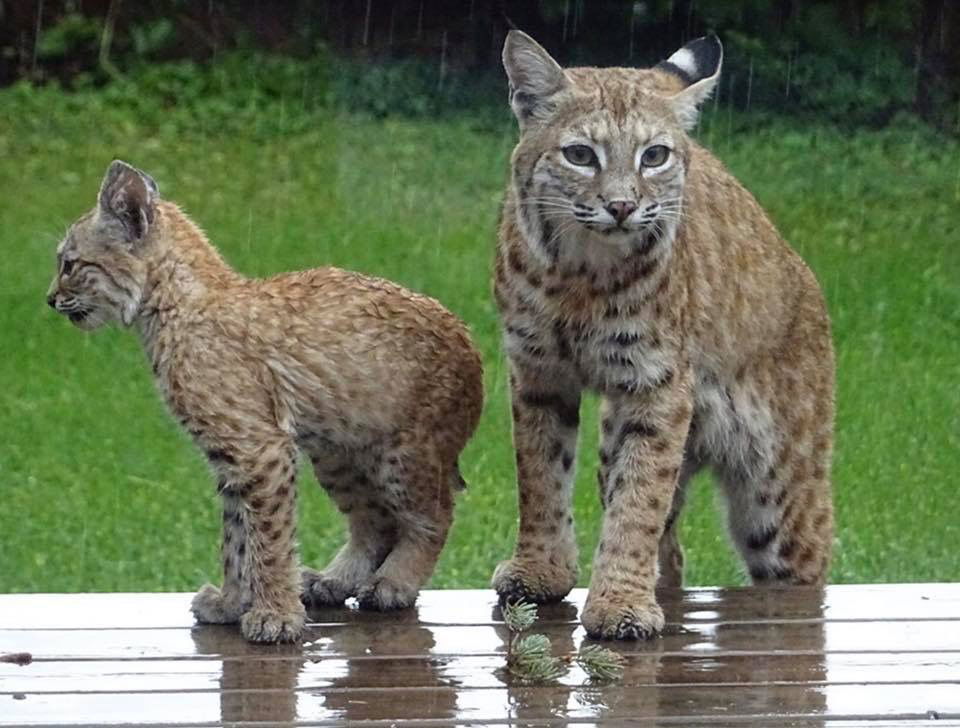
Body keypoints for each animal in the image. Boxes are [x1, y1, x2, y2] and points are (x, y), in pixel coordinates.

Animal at [46, 161, 484, 644]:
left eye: (70, 264)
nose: (50, 299)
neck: (166, 306)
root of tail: (467, 335)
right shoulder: (233, 457)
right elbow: (237, 538)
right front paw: (232, 602)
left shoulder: (258, 446)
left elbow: (268, 539)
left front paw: (275, 615)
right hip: (337, 448)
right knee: (375, 520)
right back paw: (336, 579)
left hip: (405, 450)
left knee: (437, 514)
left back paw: (395, 583)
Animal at [492, 31, 836, 640]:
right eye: (580, 155)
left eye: (654, 156)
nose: (622, 206)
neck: (579, 273)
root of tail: (803, 273)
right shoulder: (536, 370)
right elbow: (540, 475)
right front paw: (542, 571)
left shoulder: (657, 384)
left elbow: (639, 501)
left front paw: (619, 605)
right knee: (669, 549)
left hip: (779, 491)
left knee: (803, 565)